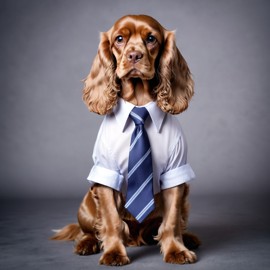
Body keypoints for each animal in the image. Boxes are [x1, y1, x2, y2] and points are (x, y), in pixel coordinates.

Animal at [52, 14, 200, 266]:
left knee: (173, 223)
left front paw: (175, 250)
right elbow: (111, 220)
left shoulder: (175, 171)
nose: (134, 56)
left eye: (151, 38)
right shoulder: (106, 173)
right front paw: (113, 253)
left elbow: (171, 220)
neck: (139, 105)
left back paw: (187, 238)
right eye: (119, 39)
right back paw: (87, 244)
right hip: (86, 206)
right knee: (88, 230)